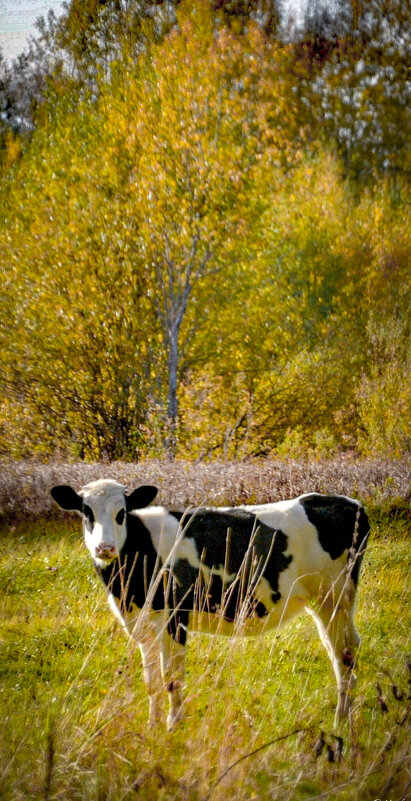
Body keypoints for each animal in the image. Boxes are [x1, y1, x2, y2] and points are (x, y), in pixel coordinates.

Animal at [50, 478, 370, 728]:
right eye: (87, 512)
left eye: (122, 513)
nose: (105, 548)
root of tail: (346, 502)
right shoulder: (141, 625)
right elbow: (151, 681)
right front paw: (153, 726)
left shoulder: (175, 617)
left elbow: (171, 677)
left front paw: (173, 726)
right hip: (327, 603)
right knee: (341, 648)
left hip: (334, 596)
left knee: (344, 652)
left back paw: (341, 720)